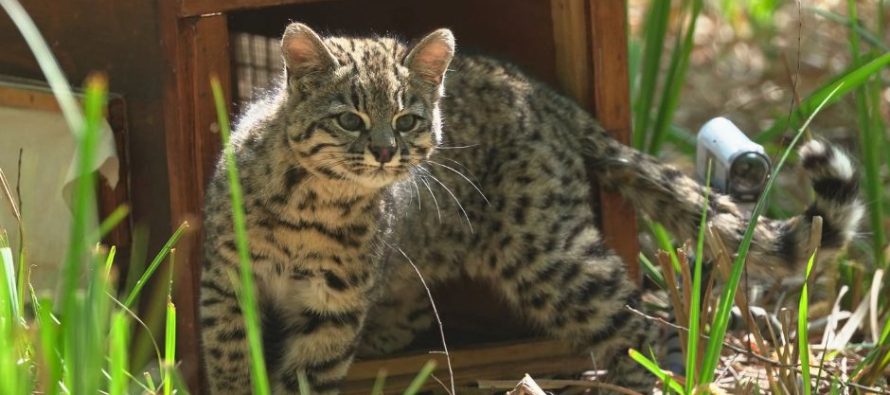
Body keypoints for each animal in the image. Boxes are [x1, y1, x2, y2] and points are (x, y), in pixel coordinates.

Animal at [201, 24, 860, 395]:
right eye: (349, 119)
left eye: (408, 119)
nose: (386, 150)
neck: (314, 204)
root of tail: (548, 98)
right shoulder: (223, 277)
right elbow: (226, 350)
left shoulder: (333, 305)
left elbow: (309, 373)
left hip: (547, 252)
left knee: (636, 317)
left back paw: (645, 378)